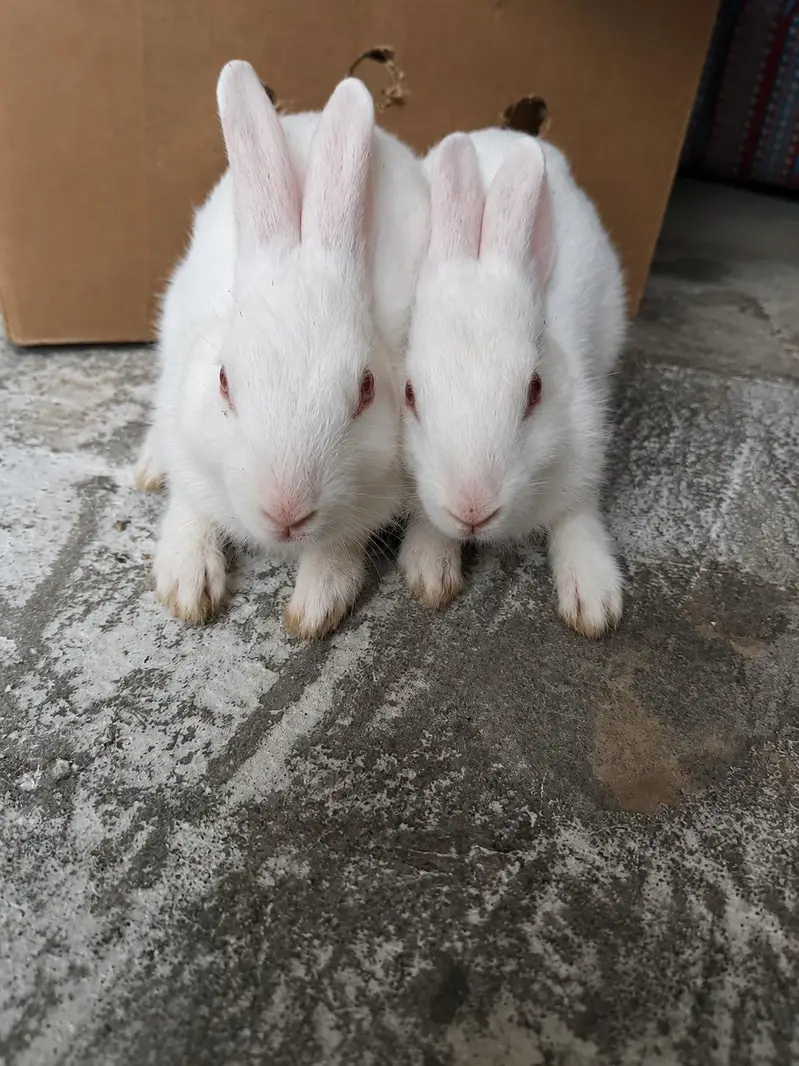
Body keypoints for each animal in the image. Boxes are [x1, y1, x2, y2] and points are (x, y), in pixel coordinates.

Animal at [133, 60, 430, 639]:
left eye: (366, 390)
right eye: (224, 382)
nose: (287, 512)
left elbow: (338, 543)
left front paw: (316, 606)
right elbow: (190, 505)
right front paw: (186, 585)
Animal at [398, 128, 627, 637]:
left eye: (535, 390)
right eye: (410, 395)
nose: (472, 509)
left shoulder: (583, 451)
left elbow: (576, 518)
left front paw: (595, 604)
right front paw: (430, 570)